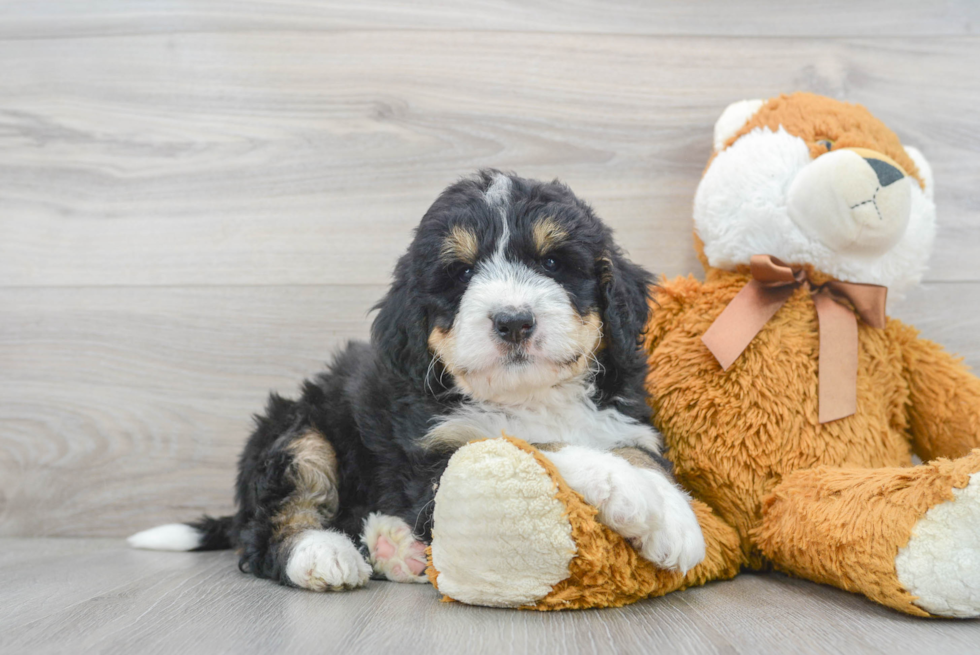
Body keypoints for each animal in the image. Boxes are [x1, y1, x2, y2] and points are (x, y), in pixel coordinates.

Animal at [130, 172, 704, 592]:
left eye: (553, 262)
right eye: (461, 273)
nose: (514, 321)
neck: (526, 395)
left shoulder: (623, 419)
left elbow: (630, 451)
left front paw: (671, 511)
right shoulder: (433, 462)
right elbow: (534, 446)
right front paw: (645, 501)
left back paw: (395, 550)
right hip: (296, 428)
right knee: (271, 526)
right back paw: (326, 554)